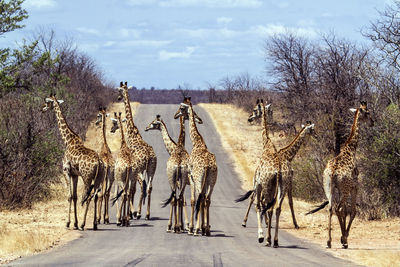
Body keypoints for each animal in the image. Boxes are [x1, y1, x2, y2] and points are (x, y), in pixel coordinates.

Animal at [42, 95, 104, 231]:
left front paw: (68, 223)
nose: (42, 109)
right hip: (98, 178)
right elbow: (75, 196)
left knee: (88, 196)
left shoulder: (66, 171)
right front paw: (74, 223)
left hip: (87, 177)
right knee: (95, 196)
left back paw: (83, 224)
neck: (68, 140)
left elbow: (69, 196)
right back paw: (94, 224)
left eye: (47, 103)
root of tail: (98, 162)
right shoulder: (75, 175)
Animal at [115, 81, 156, 220]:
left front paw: (131, 213)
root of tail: (149, 156)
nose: (118, 98)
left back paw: (137, 213)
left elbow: (131, 190)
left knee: (140, 186)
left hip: (140, 170)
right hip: (151, 169)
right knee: (149, 187)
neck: (132, 132)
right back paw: (147, 214)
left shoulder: (134, 170)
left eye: (119, 90)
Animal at [174, 98, 217, 237]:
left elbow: (193, 200)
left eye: (182, 108)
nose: (175, 115)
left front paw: (192, 228)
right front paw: (203, 227)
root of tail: (208, 165)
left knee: (201, 198)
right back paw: (206, 230)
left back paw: (197, 229)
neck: (197, 142)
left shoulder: (192, 177)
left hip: (199, 179)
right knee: (207, 199)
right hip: (212, 181)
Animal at [306, 101, 376, 250]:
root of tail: (332, 173)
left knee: (331, 208)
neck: (351, 149)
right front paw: (344, 238)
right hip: (344, 189)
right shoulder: (354, 186)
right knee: (337, 208)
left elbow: (343, 210)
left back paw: (329, 241)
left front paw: (341, 237)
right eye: (367, 112)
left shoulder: (339, 188)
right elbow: (352, 211)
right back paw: (343, 240)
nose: (372, 122)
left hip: (328, 187)